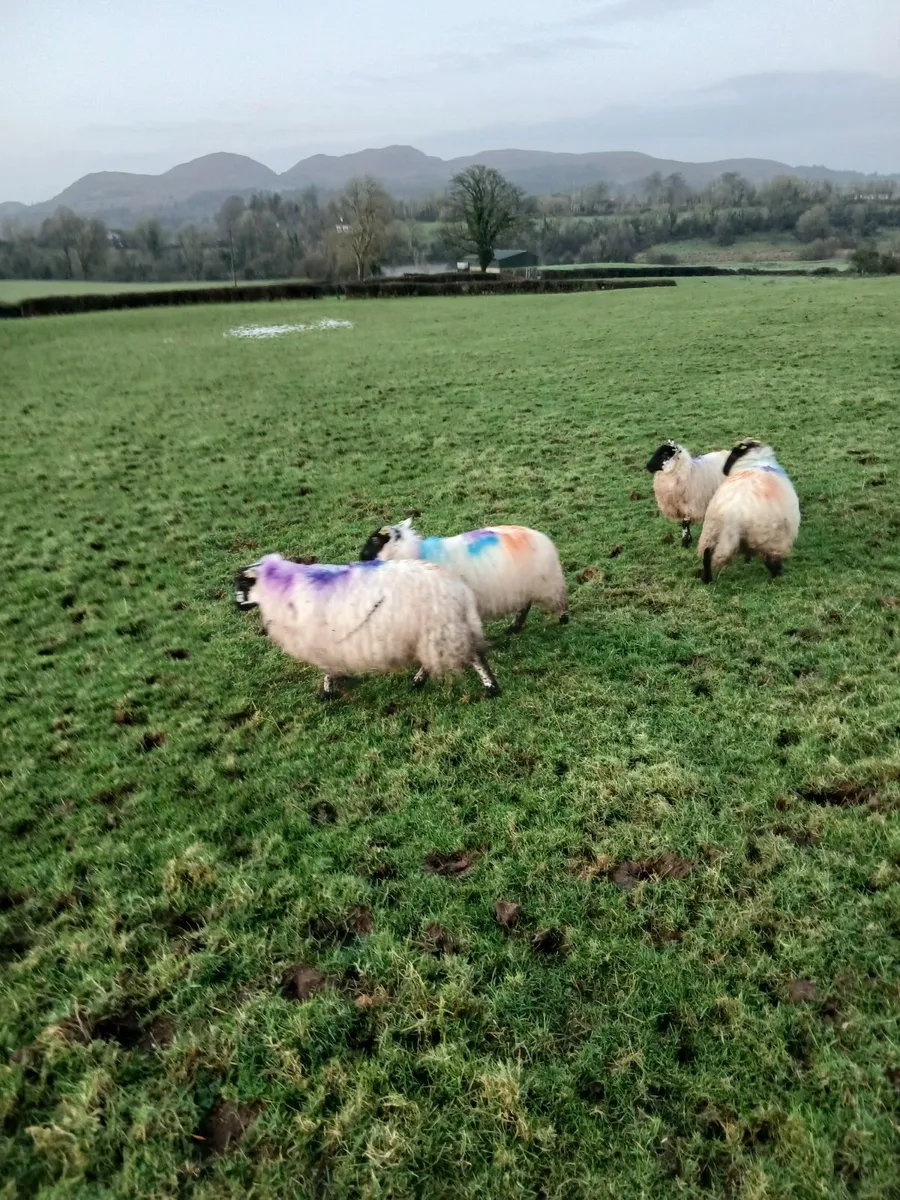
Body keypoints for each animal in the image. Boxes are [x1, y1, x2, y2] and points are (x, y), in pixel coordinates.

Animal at [234, 553, 500, 699]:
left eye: (242, 584)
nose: (236, 605)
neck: (281, 588)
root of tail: (459, 588)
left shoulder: (320, 643)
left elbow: (327, 670)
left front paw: (327, 693)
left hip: (442, 628)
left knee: (474, 656)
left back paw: (491, 688)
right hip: (432, 630)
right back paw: (418, 681)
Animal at [358, 518, 569, 634]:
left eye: (374, 541)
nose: (359, 558)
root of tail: (542, 537)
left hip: (547, 583)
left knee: (560, 602)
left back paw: (563, 620)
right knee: (525, 605)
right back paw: (514, 627)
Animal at [697, 439, 800, 582]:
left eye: (733, 455)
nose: (724, 470)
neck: (754, 463)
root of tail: (733, 515)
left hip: (711, 532)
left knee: (707, 554)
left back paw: (707, 579)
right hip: (768, 538)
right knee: (770, 560)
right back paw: (777, 576)